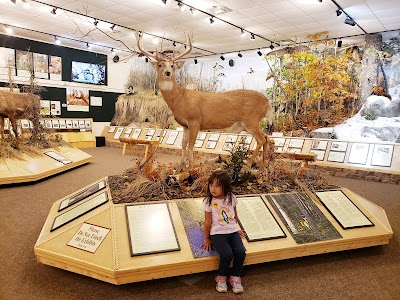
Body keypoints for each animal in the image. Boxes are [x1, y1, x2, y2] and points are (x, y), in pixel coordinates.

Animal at [136, 31, 274, 166]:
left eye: (172, 65)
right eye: (160, 65)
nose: (168, 72)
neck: (180, 99)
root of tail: (267, 102)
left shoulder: (195, 120)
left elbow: (191, 146)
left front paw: (191, 168)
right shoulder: (185, 125)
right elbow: (183, 145)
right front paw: (181, 166)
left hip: (251, 119)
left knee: (261, 139)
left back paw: (248, 164)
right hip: (250, 123)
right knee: (266, 137)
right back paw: (263, 165)